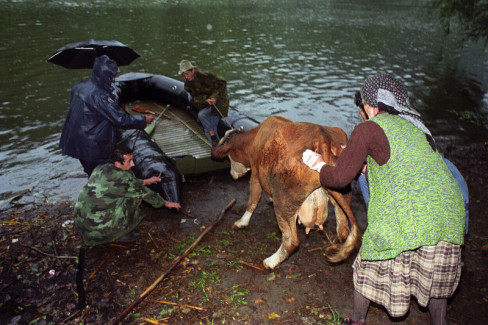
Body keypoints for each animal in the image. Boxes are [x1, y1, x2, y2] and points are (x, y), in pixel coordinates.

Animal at [212, 116, 360, 268]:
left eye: (229, 157)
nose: (232, 174)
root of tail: (322, 138)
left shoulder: (256, 175)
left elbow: (253, 200)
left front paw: (242, 222)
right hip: (343, 194)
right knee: (343, 230)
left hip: (284, 200)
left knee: (291, 241)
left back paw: (270, 262)